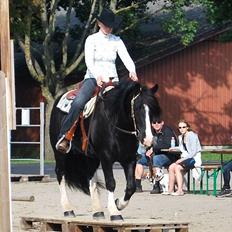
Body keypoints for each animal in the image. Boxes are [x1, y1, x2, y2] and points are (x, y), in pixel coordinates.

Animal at [49, 79, 161, 220]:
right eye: (137, 108)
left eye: (153, 110)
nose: (148, 140)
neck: (115, 123)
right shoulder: (106, 157)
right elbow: (111, 183)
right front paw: (114, 212)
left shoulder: (129, 159)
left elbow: (131, 187)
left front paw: (118, 204)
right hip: (60, 153)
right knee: (60, 174)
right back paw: (68, 209)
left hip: (90, 157)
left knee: (90, 177)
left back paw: (97, 212)